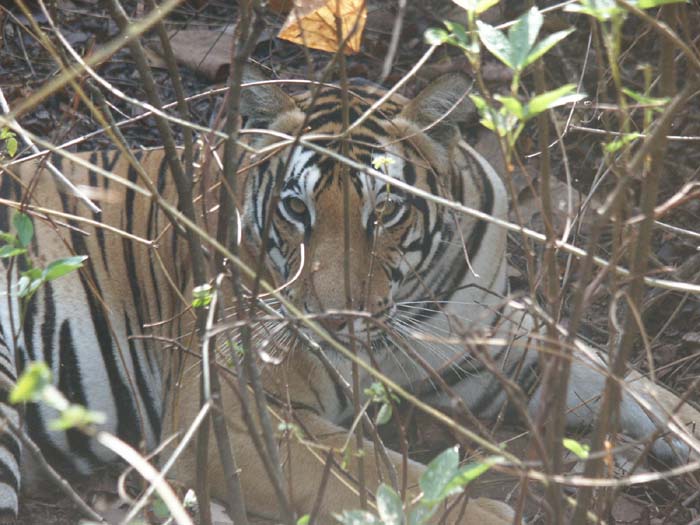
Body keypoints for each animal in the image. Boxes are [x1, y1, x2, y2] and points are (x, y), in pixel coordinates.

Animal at [0, 70, 696, 524]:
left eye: (383, 211)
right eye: (295, 210)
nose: (334, 319)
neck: (415, 308)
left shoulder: (492, 343)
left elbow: (628, 381)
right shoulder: (233, 409)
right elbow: (382, 471)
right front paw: (489, 511)